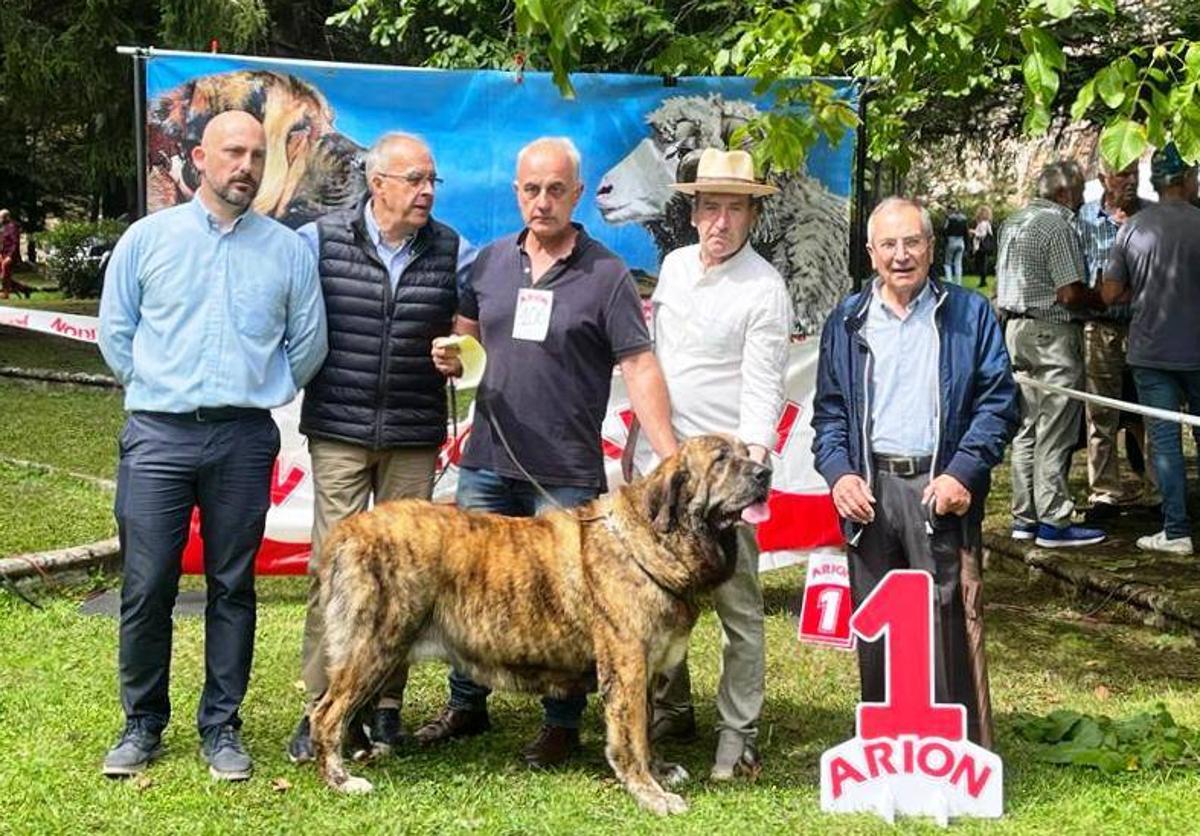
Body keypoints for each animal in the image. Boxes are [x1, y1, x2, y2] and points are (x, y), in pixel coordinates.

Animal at [309, 434, 772, 810]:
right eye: (721, 460)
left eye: (747, 453)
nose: (765, 472)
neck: (657, 536)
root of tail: (349, 531)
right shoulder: (628, 666)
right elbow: (631, 737)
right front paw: (650, 793)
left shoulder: (646, 668)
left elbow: (645, 728)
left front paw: (660, 771)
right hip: (373, 647)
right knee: (326, 713)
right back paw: (340, 780)